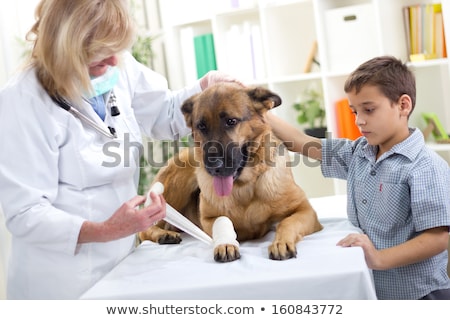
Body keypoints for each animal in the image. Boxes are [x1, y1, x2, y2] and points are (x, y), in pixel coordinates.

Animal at [139, 83, 322, 262]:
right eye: (201, 126)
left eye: (231, 121)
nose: (214, 167)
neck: (244, 187)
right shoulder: (208, 219)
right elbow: (224, 221)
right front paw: (225, 244)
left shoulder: (305, 210)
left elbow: (287, 223)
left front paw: (281, 242)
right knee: (144, 229)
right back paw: (164, 235)